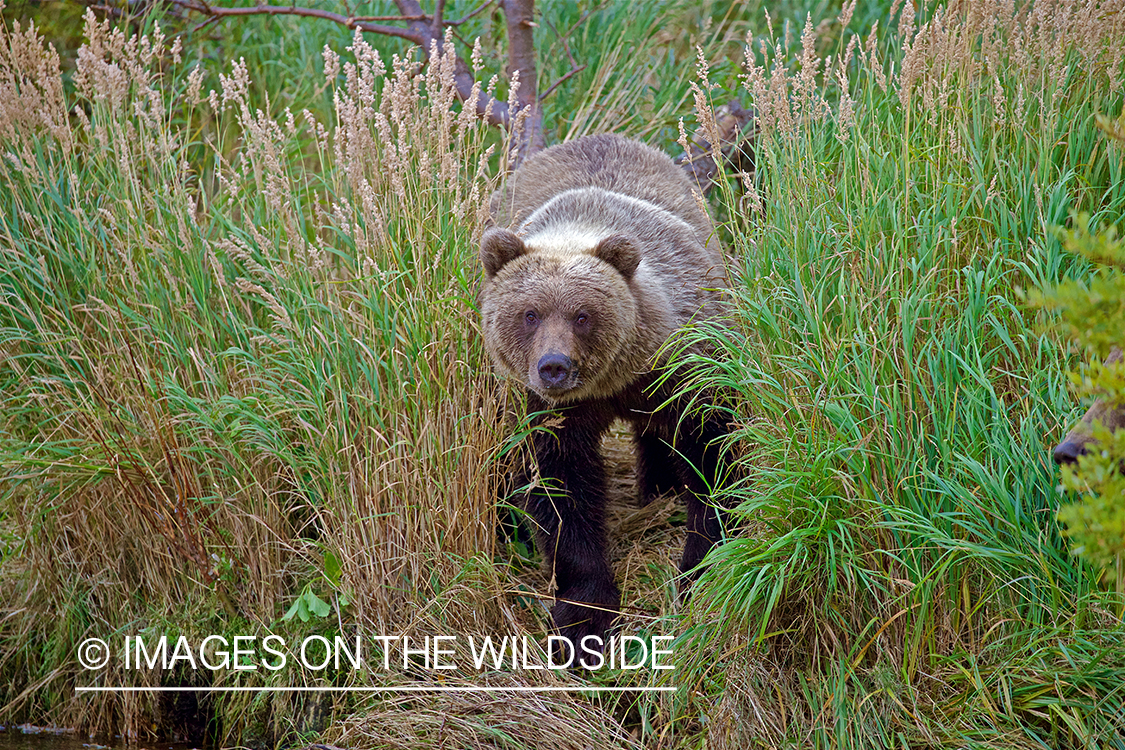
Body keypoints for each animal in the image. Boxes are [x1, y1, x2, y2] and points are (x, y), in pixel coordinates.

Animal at [481, 134, 729, 652]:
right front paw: (582, 615)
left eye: (582, 314)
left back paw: (659, 486)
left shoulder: (679, 366)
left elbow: (710, 453)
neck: (612, 380)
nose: (554, 366)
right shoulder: (547, 410)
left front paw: (698, 569)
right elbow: (560, 488)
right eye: (530, 313)